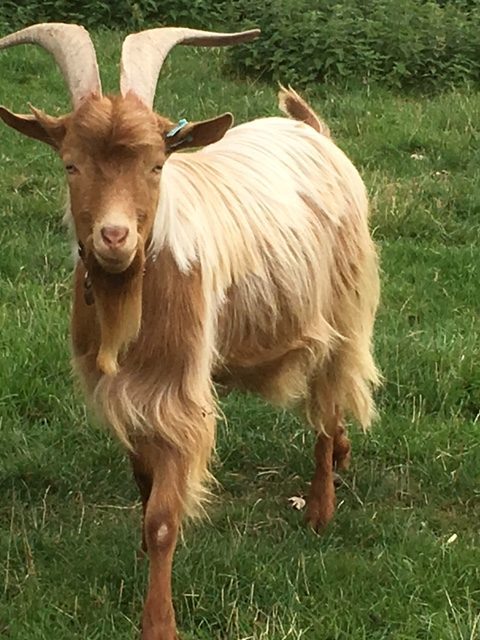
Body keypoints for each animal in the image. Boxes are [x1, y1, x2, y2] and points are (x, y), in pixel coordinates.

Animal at [0, 23, 380, 640]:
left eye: (157, 165)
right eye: (70, 165)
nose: (114, 237)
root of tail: (311, 129)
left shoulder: (176, 394)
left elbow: (162, 516)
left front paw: (158, 622)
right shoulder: (125, 391)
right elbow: (143, 480)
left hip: (344, 310)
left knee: (328, 400)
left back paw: (321, 509)